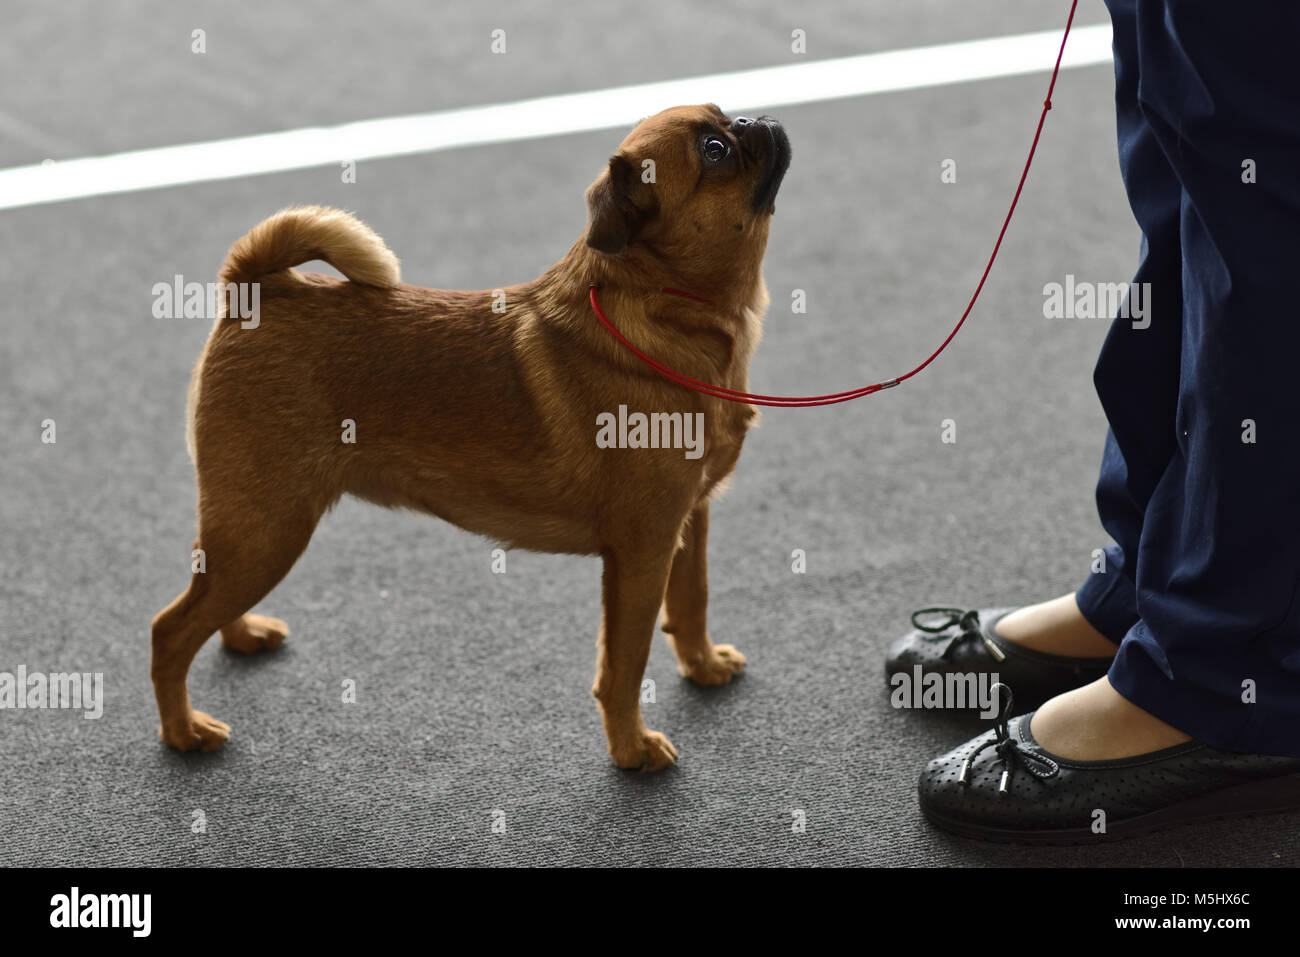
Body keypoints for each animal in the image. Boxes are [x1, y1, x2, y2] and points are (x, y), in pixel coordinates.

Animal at [147, 102, 785, 769]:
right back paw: (183, 731)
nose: (751, 120)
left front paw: (703, 666)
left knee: (205, 595)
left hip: (251, 531)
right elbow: (625, 666)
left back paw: (242, 635)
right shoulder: (642, 551)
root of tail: (255, 287)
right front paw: (631, 749)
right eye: (715, 150)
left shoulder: (690, 519)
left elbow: (691, 601)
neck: (664, 309)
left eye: (726, 122)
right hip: (267, 531)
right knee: (170, 631)